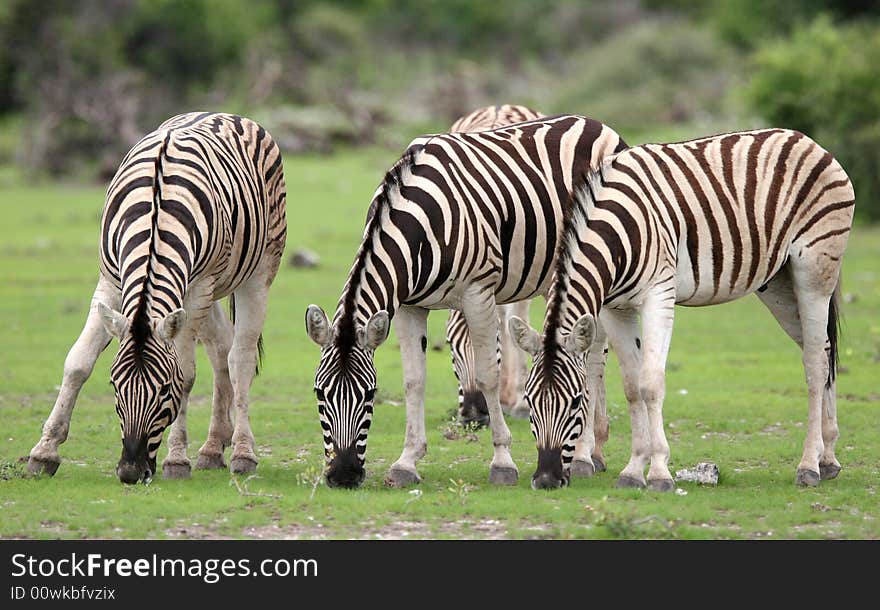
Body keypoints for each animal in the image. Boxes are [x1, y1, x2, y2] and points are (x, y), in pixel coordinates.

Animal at [25, 111, 288, 482]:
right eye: (114, 386)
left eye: (165, 390)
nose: (130, 472)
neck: (155, 220)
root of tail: (224, 114)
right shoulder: (111, 282)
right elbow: (77, 362)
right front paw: (43, 452)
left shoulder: (196, 290)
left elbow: (187, 373)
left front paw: (176, 459)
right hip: (211, 286)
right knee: (222, 346)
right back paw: (212, 447)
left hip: (258, 269)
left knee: (240, 357)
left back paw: (242, 452)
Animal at [508, 128, 852, 490]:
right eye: (528, 401)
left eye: (576, 401)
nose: (546, 479)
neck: (615, 235)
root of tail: (803, 138)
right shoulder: (615, 309)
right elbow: (632, 387)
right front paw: (633, 470)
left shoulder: (659, 295)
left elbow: (650, 384)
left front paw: (659, 471)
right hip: (780, 284)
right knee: (823, 350)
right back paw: (828, 458)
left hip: (814, 272)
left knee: (815, 364)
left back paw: (809, 465)